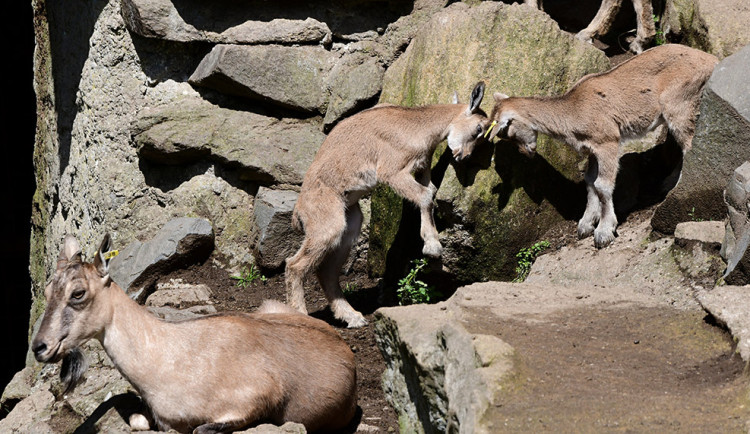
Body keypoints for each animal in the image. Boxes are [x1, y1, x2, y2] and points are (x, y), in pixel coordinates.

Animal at [36, 236, 360, 432]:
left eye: (78, 293)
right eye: (47, 291)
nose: (40, 347)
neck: (167, 359)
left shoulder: (253, 400)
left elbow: (202, 428)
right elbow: (140, 421)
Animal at [284, 81, 490, 328]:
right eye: (478, 129)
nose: (462, 156)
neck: (417, 126)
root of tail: (298, 214)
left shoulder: (422, 166)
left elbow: (430, 191)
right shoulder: (392, 171)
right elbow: (424, 196)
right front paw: (433, 247)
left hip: (349, 224)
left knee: (326, 271)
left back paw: (353, 317)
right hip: (326, 224)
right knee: (294, 265)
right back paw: (301, 316)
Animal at [490, 44, 720, 249]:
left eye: (506, 132)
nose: (526, 152)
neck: (574, 110)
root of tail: (712, 60)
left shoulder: (607, 141)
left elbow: (602, 185)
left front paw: (604, 232)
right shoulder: (592, 149)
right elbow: (590, 181)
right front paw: (585, 225)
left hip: (680, 104)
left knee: (689, 146)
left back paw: (676, 188)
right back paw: (667, 182)